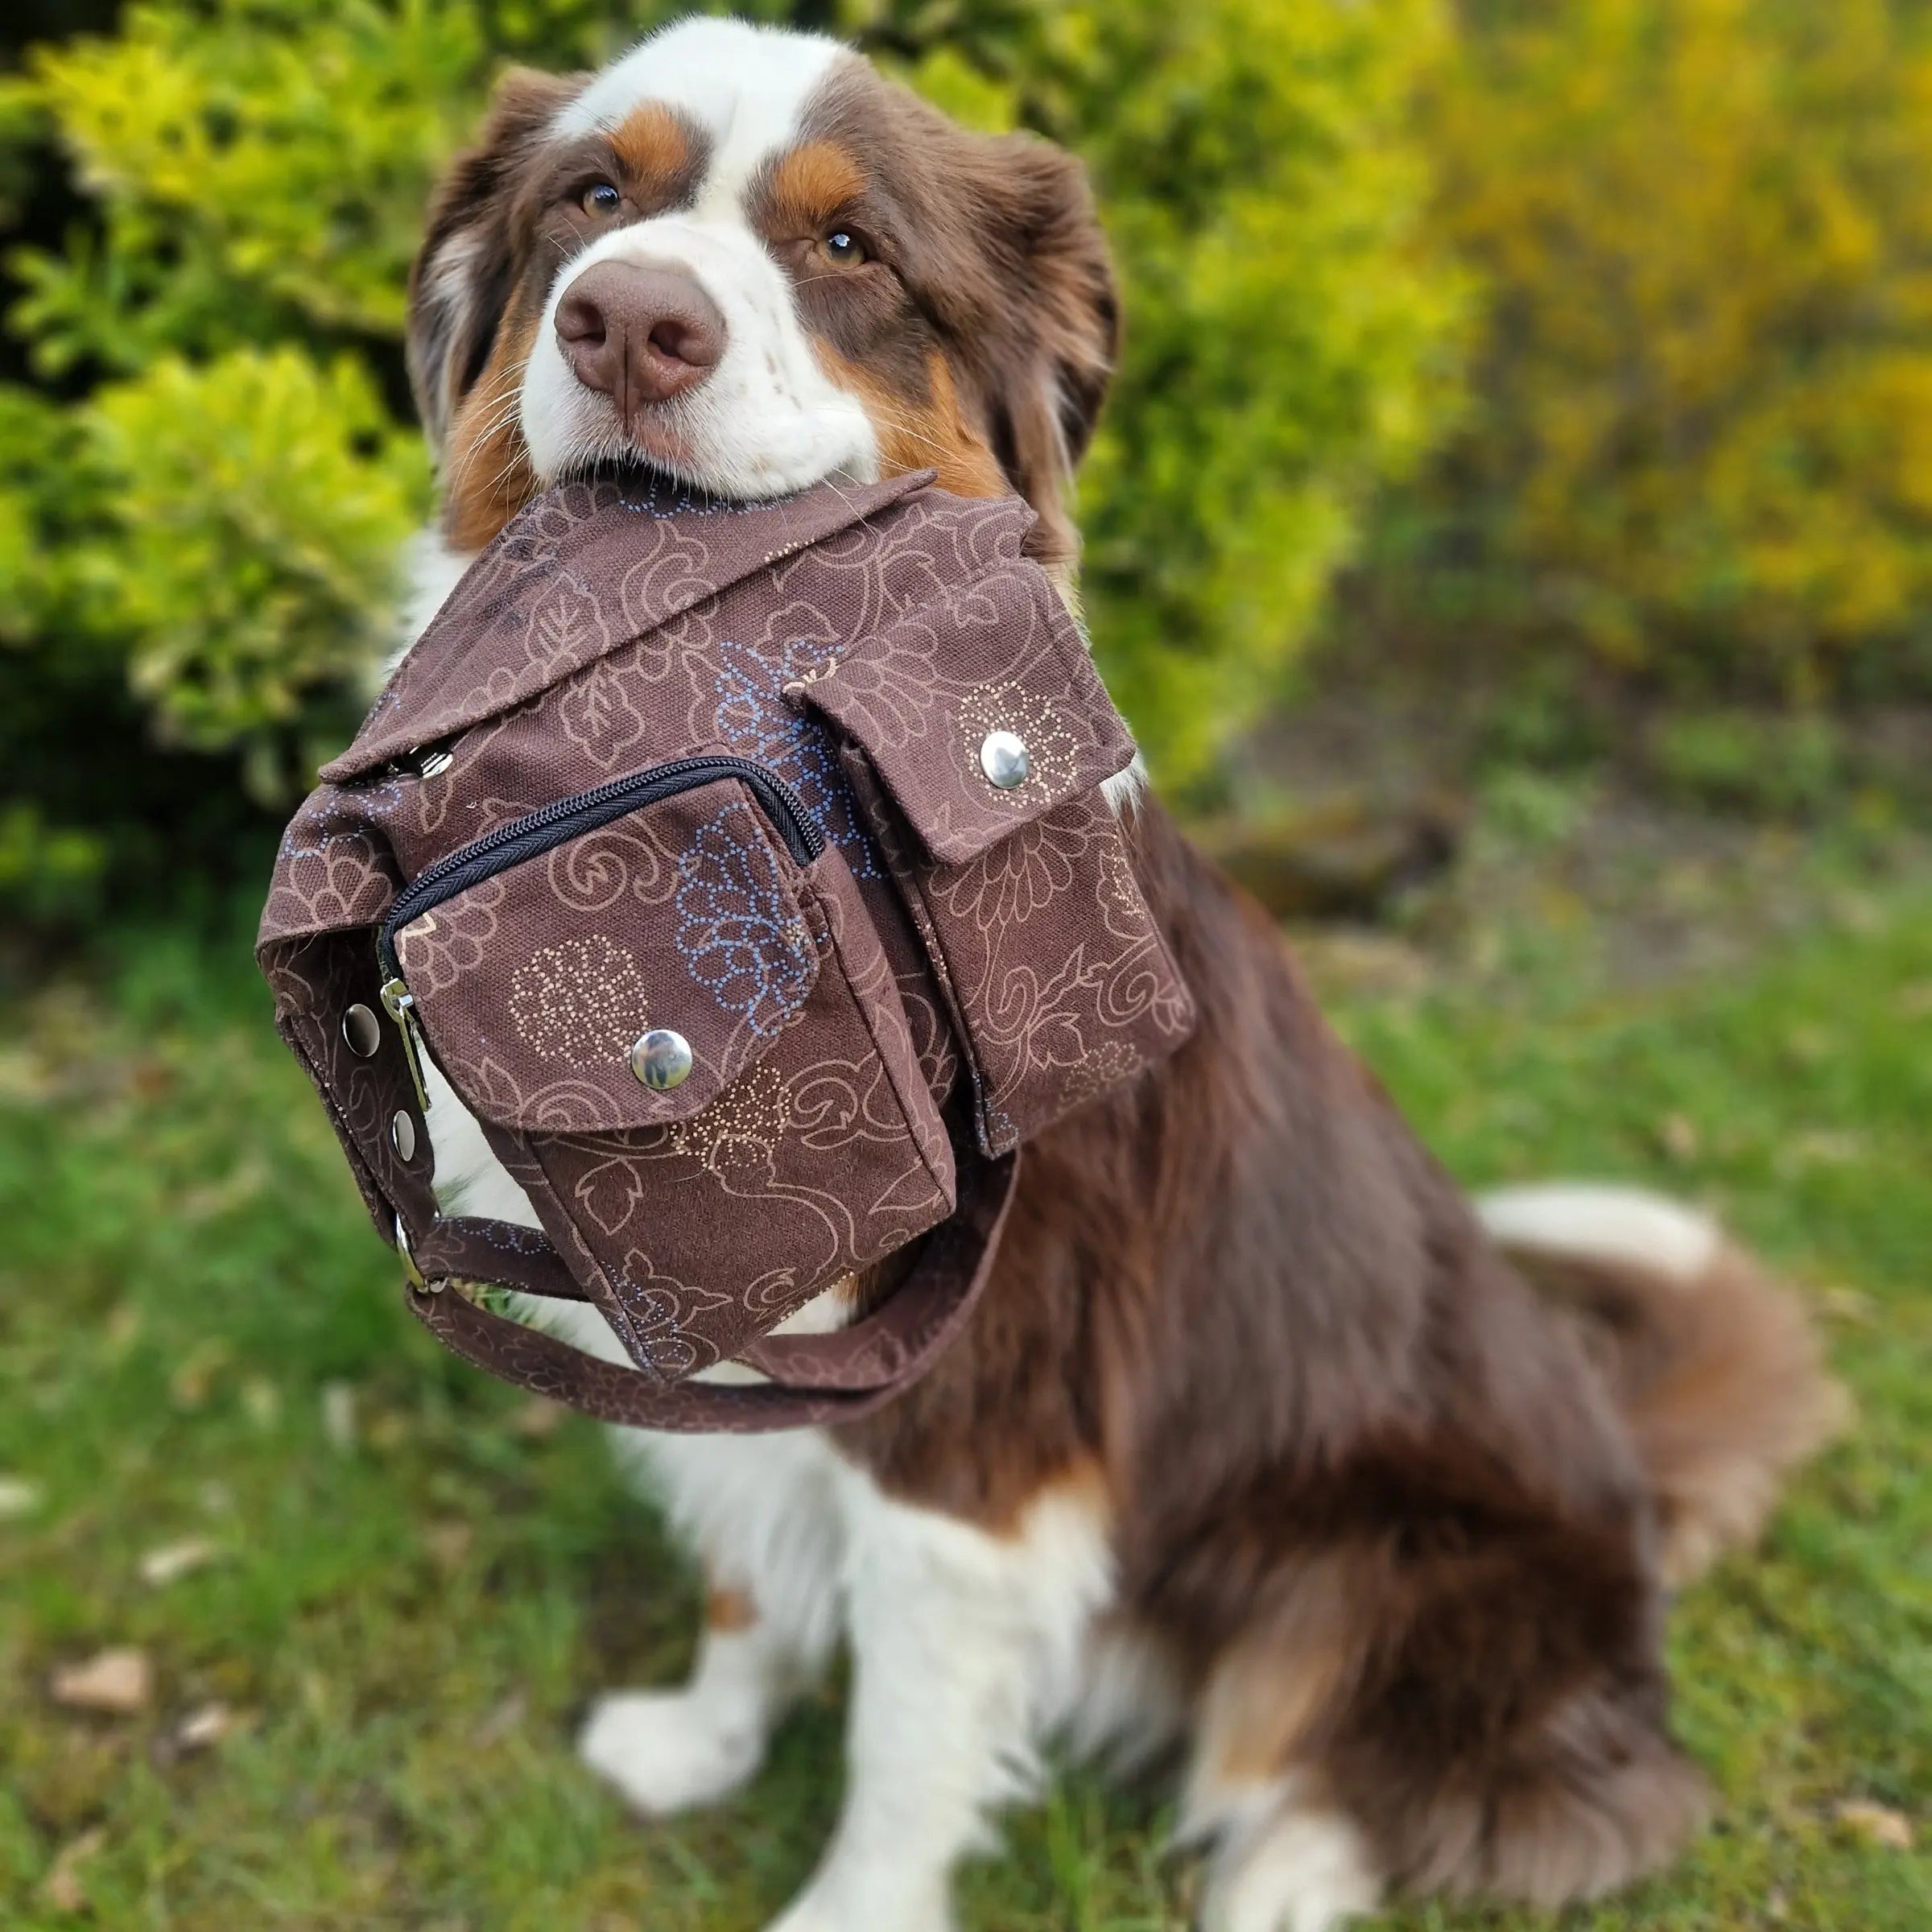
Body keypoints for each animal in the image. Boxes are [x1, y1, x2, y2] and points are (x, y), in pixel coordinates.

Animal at [388, 19, 1839, 1932]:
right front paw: (704, 1740)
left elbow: (906, 1738)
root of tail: (1630, 1506)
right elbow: (747, 1575)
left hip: (1376, 1554)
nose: (628, 321)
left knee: (1401, 1766)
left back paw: (1284, 1878)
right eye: (590, 199)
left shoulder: (988, 1416)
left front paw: (850, 1906)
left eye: (850, 249)